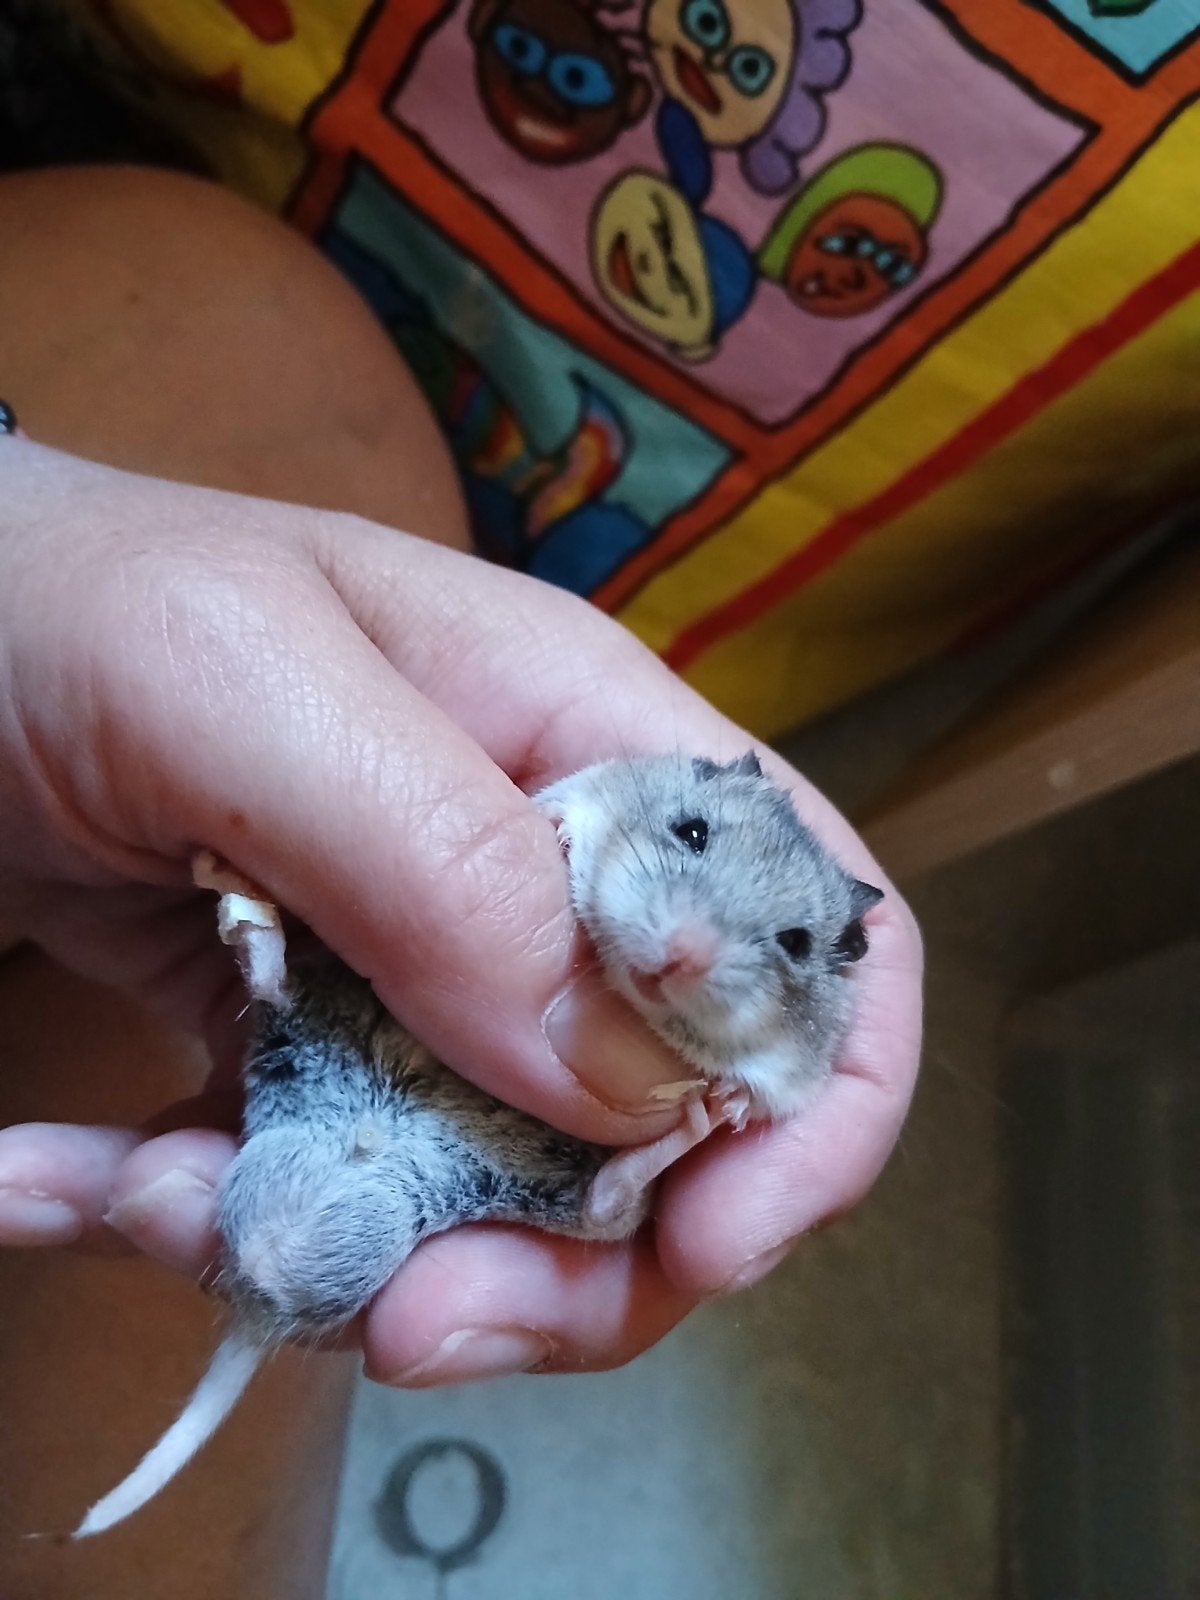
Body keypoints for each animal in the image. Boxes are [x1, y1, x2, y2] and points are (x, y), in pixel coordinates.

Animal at [74, 752, 881, 1537]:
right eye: (691, 832)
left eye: (797, 943)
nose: (682, 957)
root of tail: (257, 1285)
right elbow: (563, 805)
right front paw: (559, 835)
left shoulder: (793, 1076)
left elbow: (769, 1089)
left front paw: (727, 1100)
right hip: (315, 1020)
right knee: (274, 984)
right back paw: (234, 887)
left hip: (533, 1195)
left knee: (606, 1198)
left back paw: (690, 1120)